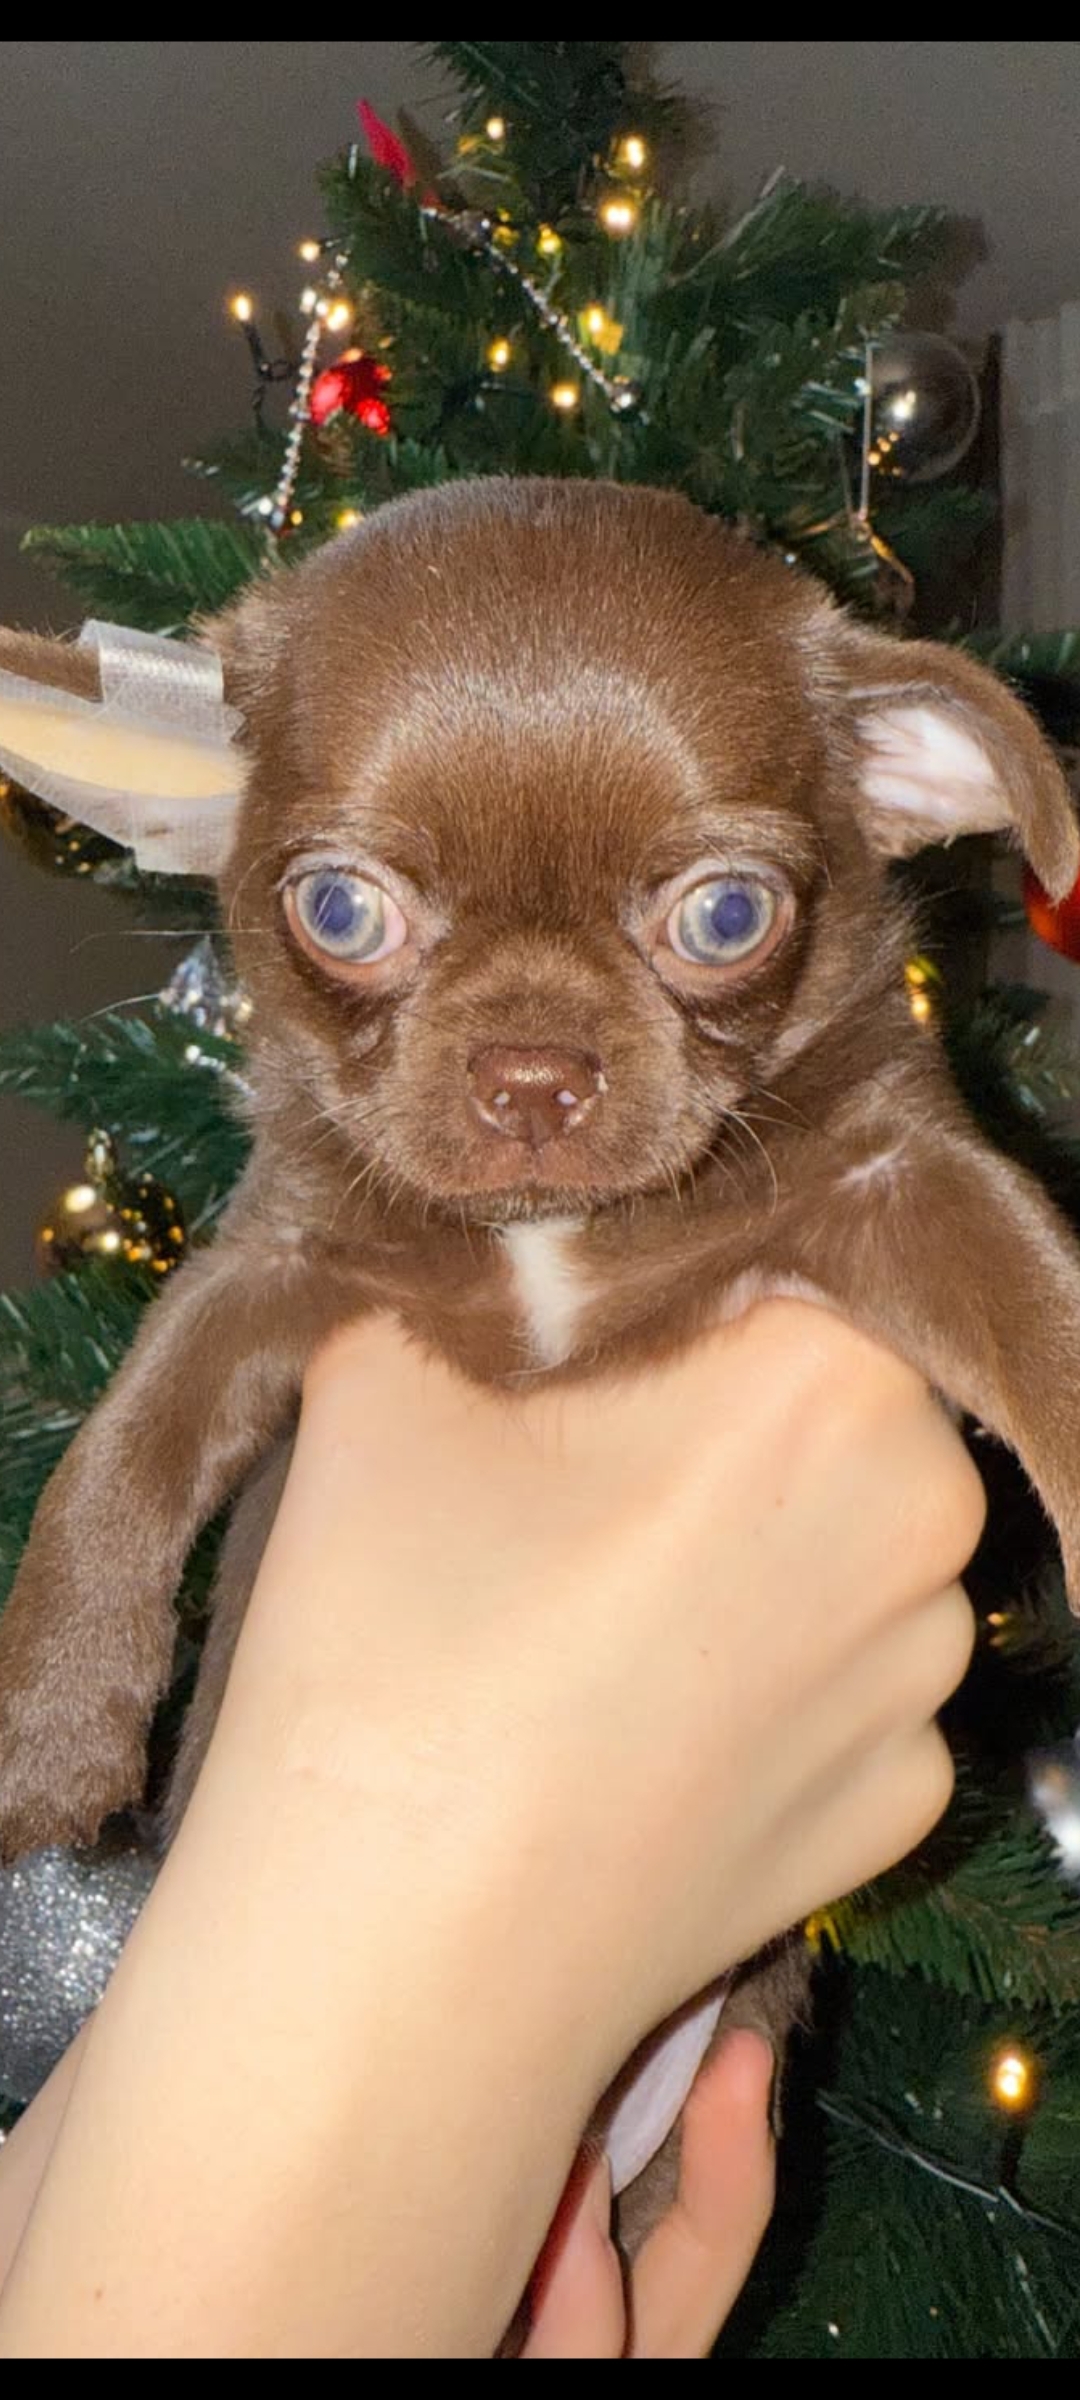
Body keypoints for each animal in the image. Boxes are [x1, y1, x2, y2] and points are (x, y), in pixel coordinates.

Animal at [1, 475, 1079, 2266]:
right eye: (340, 910)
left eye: (726, 915)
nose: (529, 1070)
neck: (553, 1238)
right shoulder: (262, 1269)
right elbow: (118, 1453)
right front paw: (46, 1732)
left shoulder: (911, 1188)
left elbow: (1053, 1323)